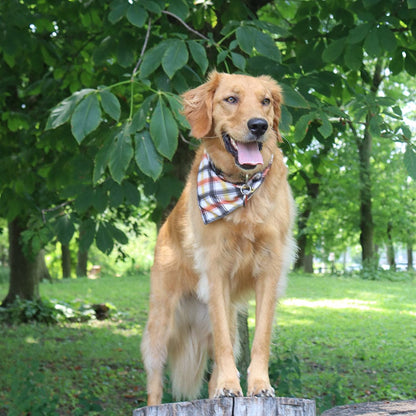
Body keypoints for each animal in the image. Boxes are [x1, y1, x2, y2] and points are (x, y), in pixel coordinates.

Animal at [141, 71, 296, 406]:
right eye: (231, 99)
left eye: (266, 101)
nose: (259, 126)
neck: (241, 188)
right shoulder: (215, 269)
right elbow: (223, 346)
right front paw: (229, 385)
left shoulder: (270, 269)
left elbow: (261, 339)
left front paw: (259, 386)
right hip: (161, 321)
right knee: (155, 379)